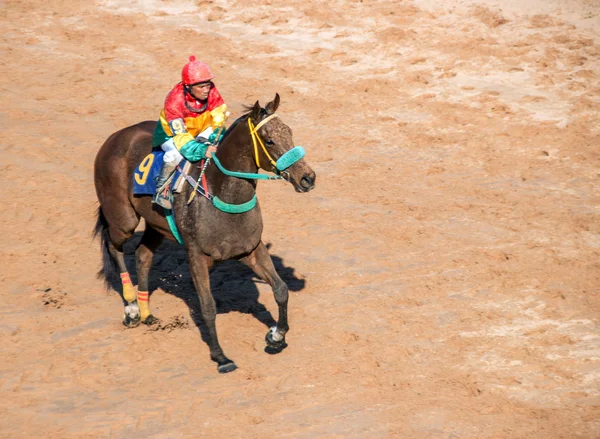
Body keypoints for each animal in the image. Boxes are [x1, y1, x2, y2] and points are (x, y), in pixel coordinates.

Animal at [93, 94, 316, 372]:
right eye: (270, 140)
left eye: (289, 132)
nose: (307, 178)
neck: (223, 194)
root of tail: (114, 138)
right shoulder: (197, 256)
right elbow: (208, 306)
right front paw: (221, 356)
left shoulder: (251, 249)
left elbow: (281, 290)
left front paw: (276, 336)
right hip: (123, 219)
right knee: (115, 247)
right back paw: (132, 308)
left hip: (157, 225)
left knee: (143, 255)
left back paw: (145, 312)